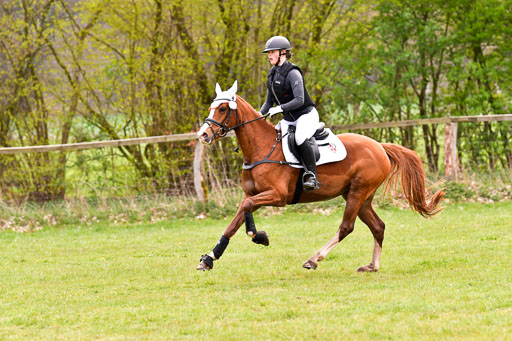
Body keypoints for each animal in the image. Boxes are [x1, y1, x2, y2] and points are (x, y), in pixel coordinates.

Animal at [196, 81, 444, 270]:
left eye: (222, 109)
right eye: (211, 107)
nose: (203, 135)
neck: (261, 147)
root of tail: (379, 147)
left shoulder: (278, 196)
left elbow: (246, 211)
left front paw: (259, 236)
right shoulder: (251, 194)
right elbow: (235, 222)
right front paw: (209, 258)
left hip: (358, 192)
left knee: (346, 227)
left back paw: (313, 259)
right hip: (361, 197)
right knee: (378, 226)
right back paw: (372, 266)